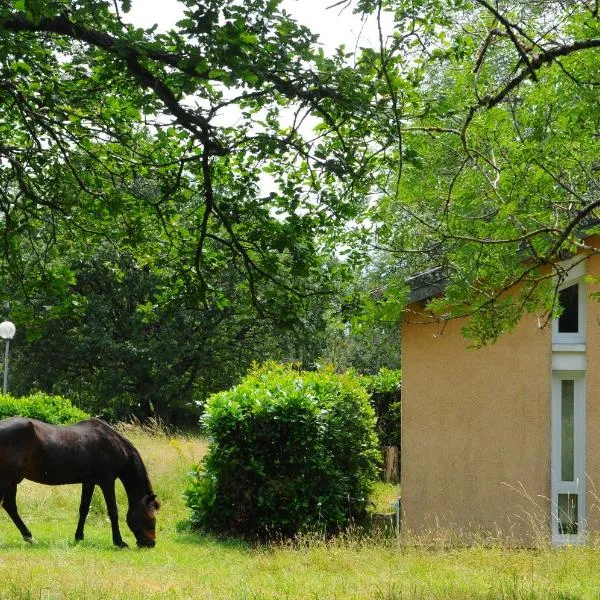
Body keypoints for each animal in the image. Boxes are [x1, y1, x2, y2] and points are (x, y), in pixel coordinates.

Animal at [0, 418, 159, 548]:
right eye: (151, 517)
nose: (151, 543)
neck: (113, 445)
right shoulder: (107, 482)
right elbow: (113, 511)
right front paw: (119, 542)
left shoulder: (89, 482)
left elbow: (84, 509)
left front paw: (78, 537)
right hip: (6, 478)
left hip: (12, 480)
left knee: (10, 506)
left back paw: (29, 537)